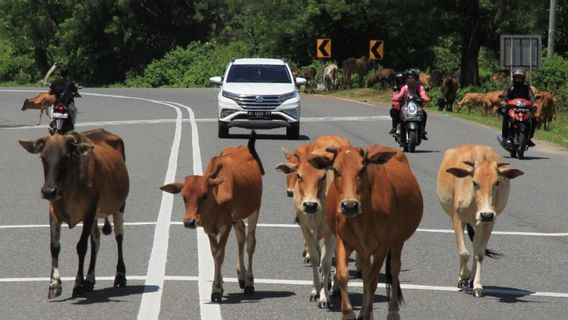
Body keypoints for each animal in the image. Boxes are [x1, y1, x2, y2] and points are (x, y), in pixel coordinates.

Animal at [19, 129, 130, 298]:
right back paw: (90, 279)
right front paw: (54, 285)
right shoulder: (54, 213)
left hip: (119, 206)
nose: (49, 191)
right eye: (42, 158)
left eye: (65, 157)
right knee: (96, 240)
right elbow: (54, 246)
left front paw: (78, 285)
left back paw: (120, 276)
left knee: (119, 237)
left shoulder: (89, 212)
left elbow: (81, 247)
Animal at [161, 131, 266, 302]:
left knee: (250, 242)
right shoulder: (209, 228)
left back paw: (249, 282)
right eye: (183, 197)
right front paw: (219, 285)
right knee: (241, 235)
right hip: (236, 217)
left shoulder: (226, 225)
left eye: (204, 195)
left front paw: (216, 289)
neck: (215, 200)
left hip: (254, 210)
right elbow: (214, 252)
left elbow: (219, 254)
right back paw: (241, 277)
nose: (189, 222)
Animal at [276, 134, 350, 308]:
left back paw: (336, 286)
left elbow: (326, 263)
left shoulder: (332, 233)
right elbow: (316, 259)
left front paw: (324, 297)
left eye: (322, 177)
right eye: (299, 176)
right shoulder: (306, 229)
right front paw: (315, 291)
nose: (310, 205)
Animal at [308, 146, 424, 320]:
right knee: (366, 272)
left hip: (398, 241)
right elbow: (343, 275)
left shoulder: (383, 246)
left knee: (394, 269)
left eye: (362, 169)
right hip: (363, 249)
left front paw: (366, 313)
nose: (349, 206)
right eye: (336, 170)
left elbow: (372, 281)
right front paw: (349, 313)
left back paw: (392, 311)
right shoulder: (343, 241)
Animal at [438, 145, 524, 298]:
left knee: (475, 245)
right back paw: (462, 279)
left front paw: (477, 285)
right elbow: (463, 252)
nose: (486, 214)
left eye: (497, 182)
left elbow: (479, 253)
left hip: (479, 224)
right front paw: (464, 276)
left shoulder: (489, 223)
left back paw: (472, 280)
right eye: (474, 182)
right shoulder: (457, 218)